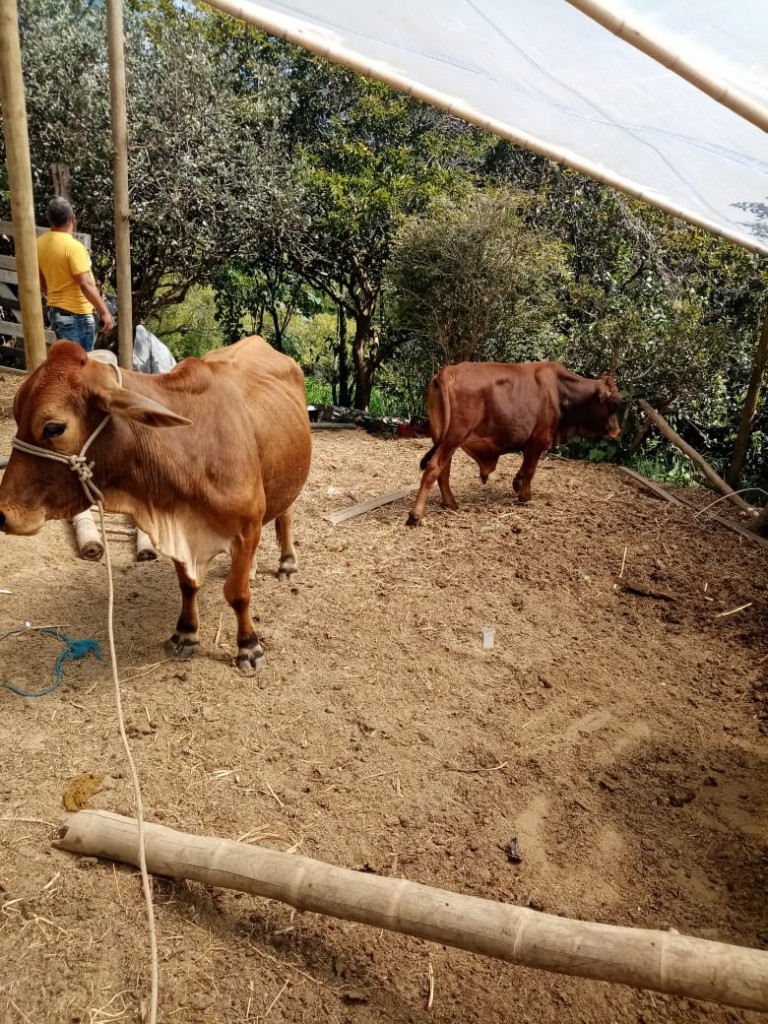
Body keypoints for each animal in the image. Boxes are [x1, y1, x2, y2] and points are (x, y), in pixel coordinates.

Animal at [0, 336, 312, 672]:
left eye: (53, 427)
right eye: (16, 413)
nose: (2, 514)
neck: (189, 449)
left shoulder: (244, 529)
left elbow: (238, 594)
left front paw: (249, 646)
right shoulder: (177, 527)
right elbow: (188, 585)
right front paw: (186, 634)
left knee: (286, 515)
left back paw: (287, 562)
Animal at [406, 360, 621, 526]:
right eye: (614, 405)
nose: (617, 431)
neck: (561, 391)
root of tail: (448, 371)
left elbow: (524, 469)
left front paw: (517, 484)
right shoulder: (538, 441)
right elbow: (530, 470)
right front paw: (525, 496)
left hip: (442, 437)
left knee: (443, 471)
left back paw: (450, 503)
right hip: (453, 437)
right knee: (433, 468)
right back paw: (415, 515)